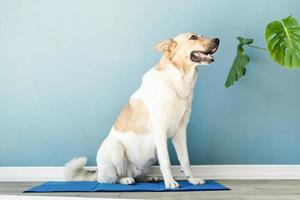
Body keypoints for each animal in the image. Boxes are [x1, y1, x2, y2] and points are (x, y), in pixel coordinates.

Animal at [65, 32, 220, 188]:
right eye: (193, 37)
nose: (217, 40)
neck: (178, 79)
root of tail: (98, 172)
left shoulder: (180, 131)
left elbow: (185, 160)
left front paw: (192, 179)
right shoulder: (160, 131)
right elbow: (166, 161)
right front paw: (170, 182)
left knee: (136, 176)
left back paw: (149, 178)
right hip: (116, 148)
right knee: (111, 178)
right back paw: (125, 180)